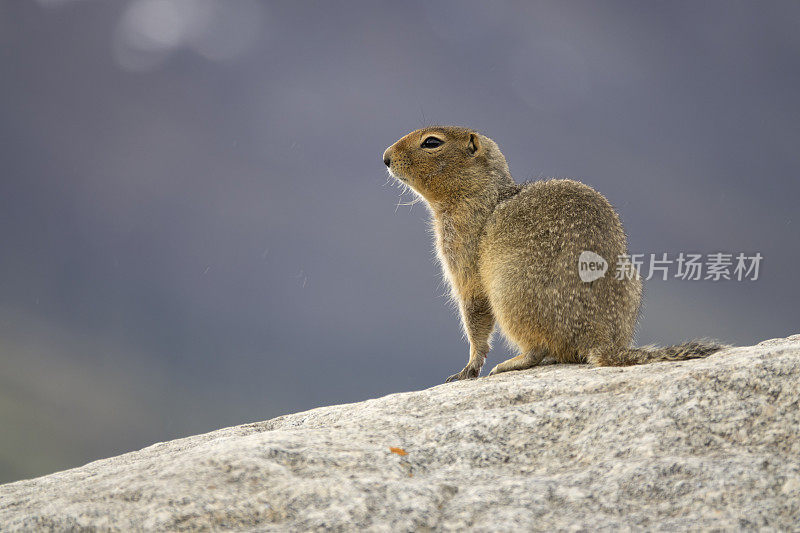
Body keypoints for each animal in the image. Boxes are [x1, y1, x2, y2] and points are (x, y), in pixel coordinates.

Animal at [382, 127, 724, 380]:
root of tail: (598, 336)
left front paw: (468, 368)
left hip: (509, 292)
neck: (483, 194)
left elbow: (474, 311)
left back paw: (512, 362)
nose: (385, 157)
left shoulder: (462, 252)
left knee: (538, 347)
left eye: (431, 142)